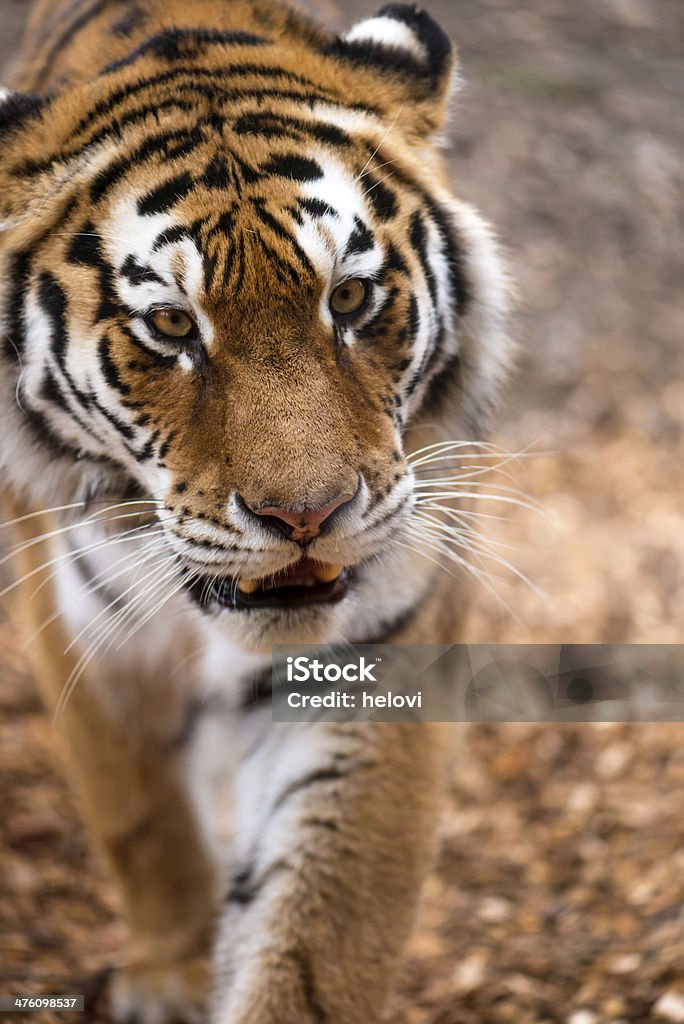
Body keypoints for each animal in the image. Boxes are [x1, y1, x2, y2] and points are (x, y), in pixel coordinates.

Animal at [1, 0, 511, 1019]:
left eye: (349, 298)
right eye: (170, 326)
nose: (307, 518)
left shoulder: (381, 648)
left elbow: (321, 927)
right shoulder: (82, 637)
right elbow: (141, 817)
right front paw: (172, 979)